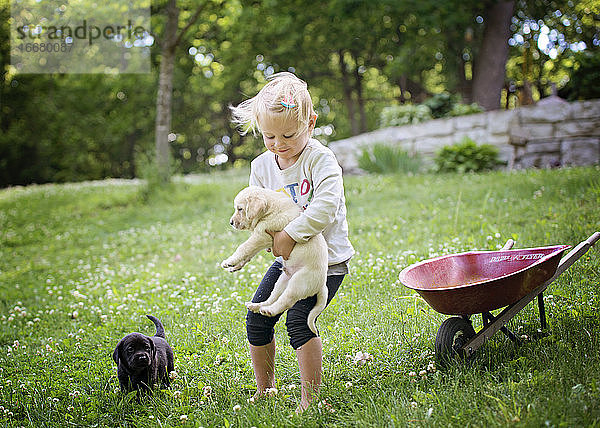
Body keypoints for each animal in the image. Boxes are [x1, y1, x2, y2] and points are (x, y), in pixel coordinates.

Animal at [221, 186, 328, 334]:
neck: (271, 209)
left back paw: (269, 310)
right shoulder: (263, 240)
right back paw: (257, 306)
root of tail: (322, 284)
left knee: (286, 301)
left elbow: (243, 248)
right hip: (281, 280)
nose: (231, 223)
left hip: (298, 282)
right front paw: (236, 266)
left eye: (240, 209)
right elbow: (248, 253)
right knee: (273, 297)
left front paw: (229, 261)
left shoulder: (261, 236)